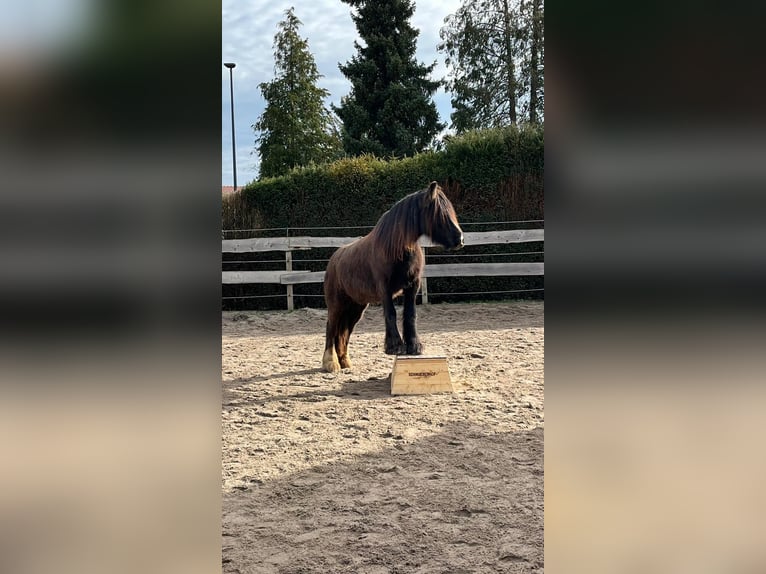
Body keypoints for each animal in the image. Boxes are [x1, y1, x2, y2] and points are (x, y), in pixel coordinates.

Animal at [320, 182, 464, 376]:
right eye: (440, 213)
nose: (460, 239)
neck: (397, 248)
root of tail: (334, 259)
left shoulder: (412, 287)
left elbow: (410, 314)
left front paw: (414, 346)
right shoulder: (385, 290)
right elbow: (391, 314)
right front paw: (395, 346)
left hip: (355, 308)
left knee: (344, 333)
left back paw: (344, 361)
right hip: (336, 305)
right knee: (331, 328)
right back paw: (330, 363)